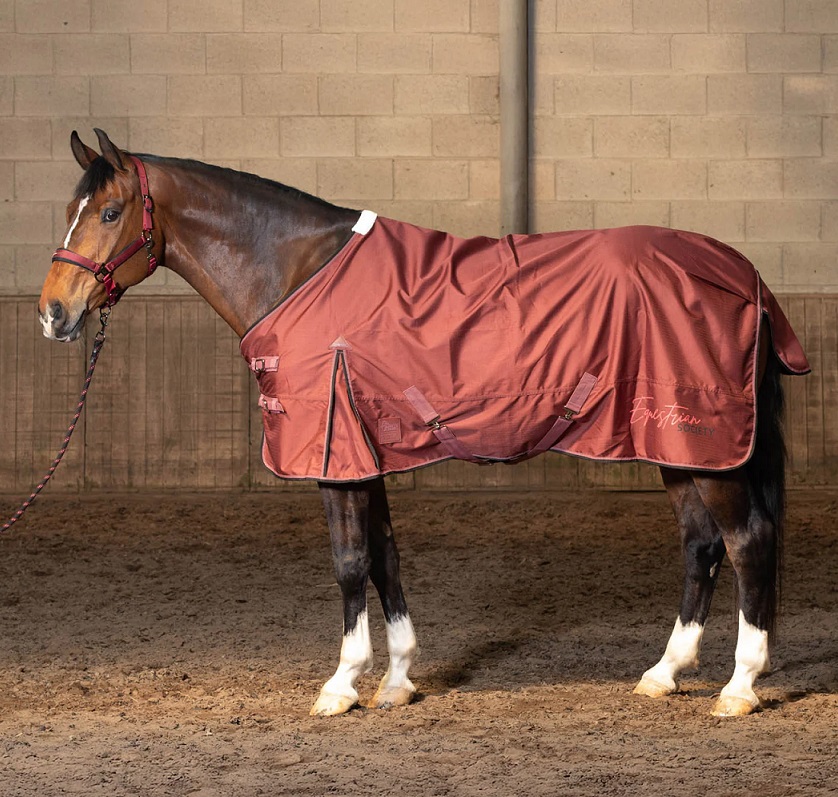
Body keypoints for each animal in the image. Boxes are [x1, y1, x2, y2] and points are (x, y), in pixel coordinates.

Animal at [39, 129, 809, 718]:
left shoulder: (336, 457)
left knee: (746, 541)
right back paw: (664, 673)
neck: (296, 270)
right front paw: (399, 678)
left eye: (109, 212)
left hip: (709, 446)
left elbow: (350, 562)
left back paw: (740, 686)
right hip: (680, 446)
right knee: (700, 546)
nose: (52, 312)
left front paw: (342, 684)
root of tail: (742, 274)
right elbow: (385, 555)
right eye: (70, 209)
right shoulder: (363, 453)